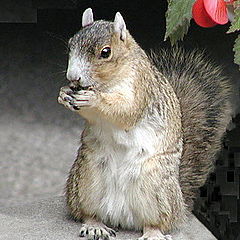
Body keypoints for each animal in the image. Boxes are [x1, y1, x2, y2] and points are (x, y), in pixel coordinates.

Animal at [57, 7, 232, 240]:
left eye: (105, 52)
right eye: (70, 44)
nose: (73, 77)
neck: (108, 83)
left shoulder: (141, 89)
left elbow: (125, 112)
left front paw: (95, 99)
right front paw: (64, 94)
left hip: (155, 187)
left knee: (156, 221)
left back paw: (153, 233)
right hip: (87, 178)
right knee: (88, 212)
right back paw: (96, 225)